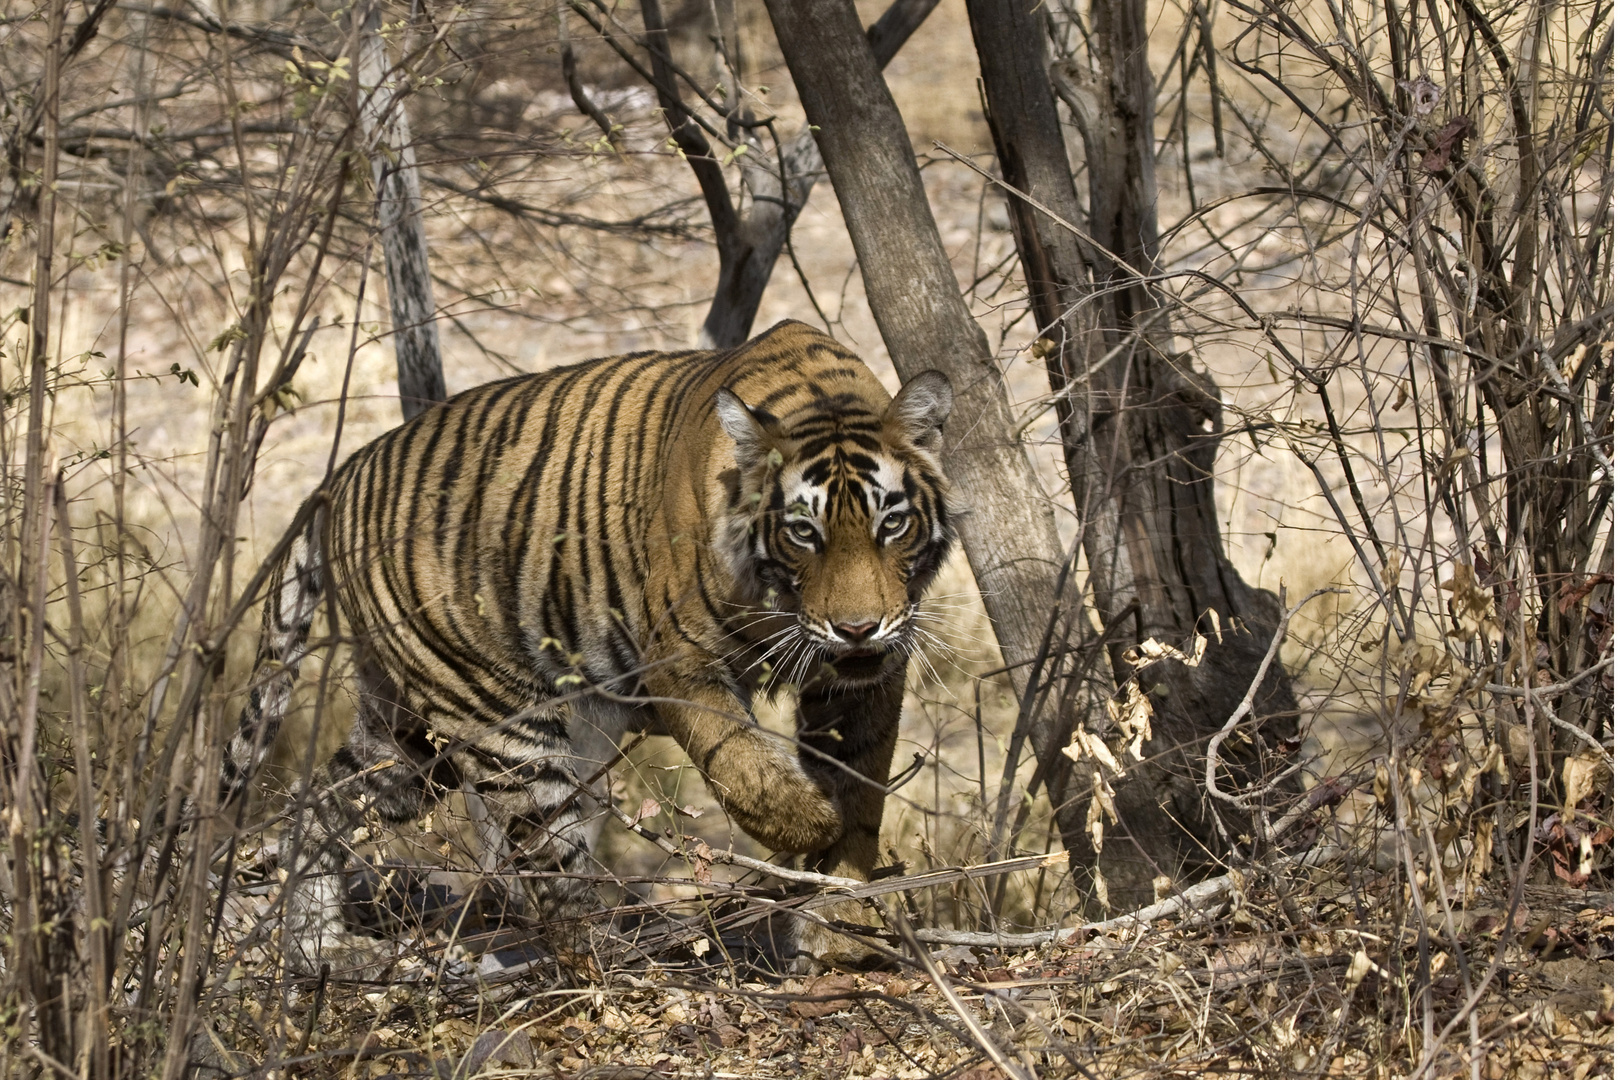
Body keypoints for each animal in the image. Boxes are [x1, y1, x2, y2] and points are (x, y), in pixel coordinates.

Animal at [228, 318, 959, 971]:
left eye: (892, 524)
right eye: (804, 532)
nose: (857, 627)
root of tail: (344, 472)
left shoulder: (867, 677)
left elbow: (862, 791)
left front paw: (841, 926)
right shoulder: (679, 657)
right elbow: (737, 760)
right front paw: (810, 825)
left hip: (408, 737)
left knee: (322, 795)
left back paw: (317, 949)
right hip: (495, 723)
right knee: (552, 874)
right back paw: (624, 961)